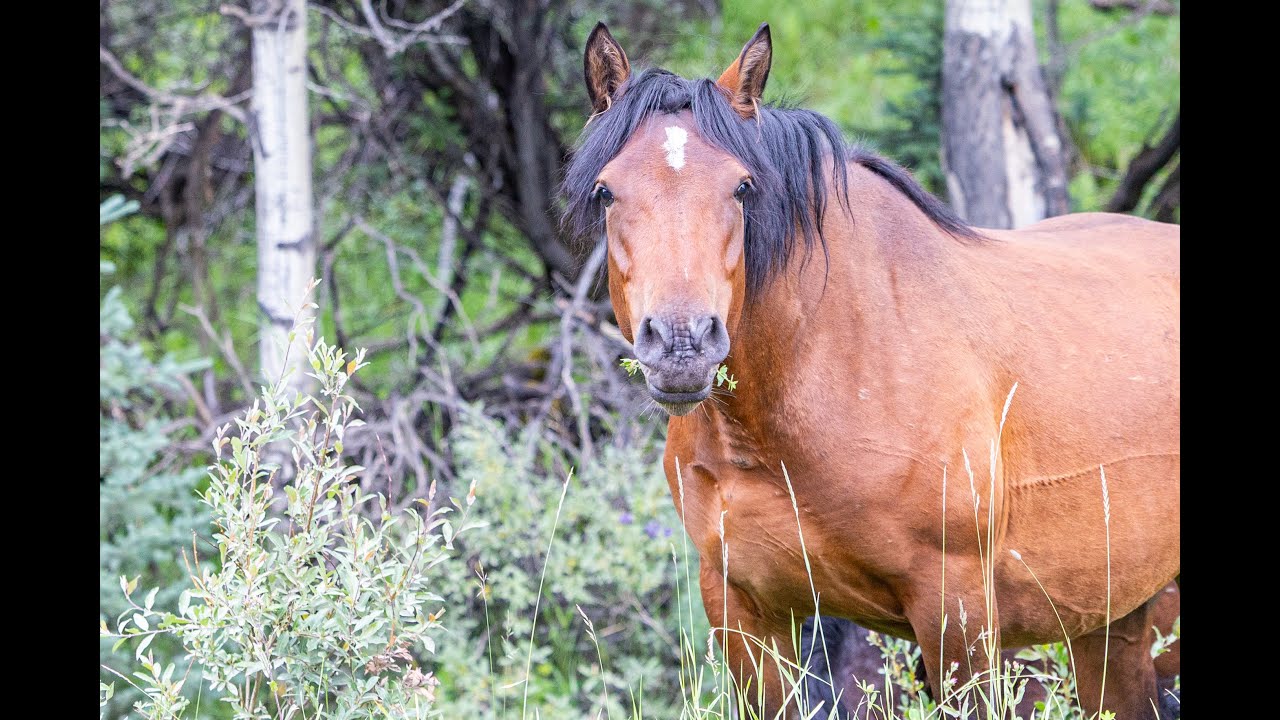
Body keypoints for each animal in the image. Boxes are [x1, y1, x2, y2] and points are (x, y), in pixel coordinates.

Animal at [562, 22, 1179, 719]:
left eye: (742, 187)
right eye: (606, 191)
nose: (682, 342)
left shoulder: (957, 613)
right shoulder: (742, 608)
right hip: (1114, 620)